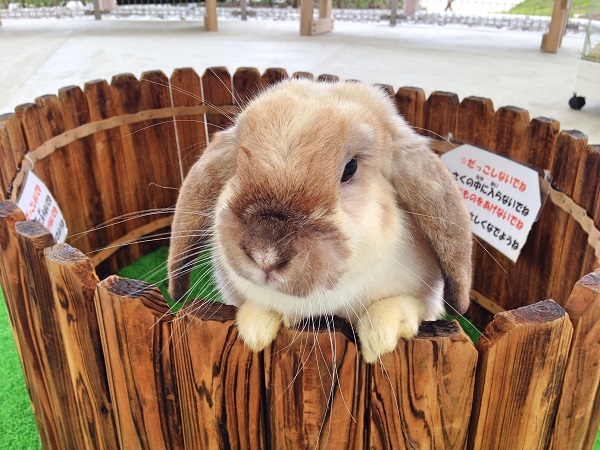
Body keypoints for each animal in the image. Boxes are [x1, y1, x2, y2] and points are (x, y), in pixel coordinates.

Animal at [166, 79, 472, 364]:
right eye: (238, 165)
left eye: (351, 168)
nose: (265, 255)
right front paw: (257, 327)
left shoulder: (425, 297)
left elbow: (410, 305)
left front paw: (381, 334)